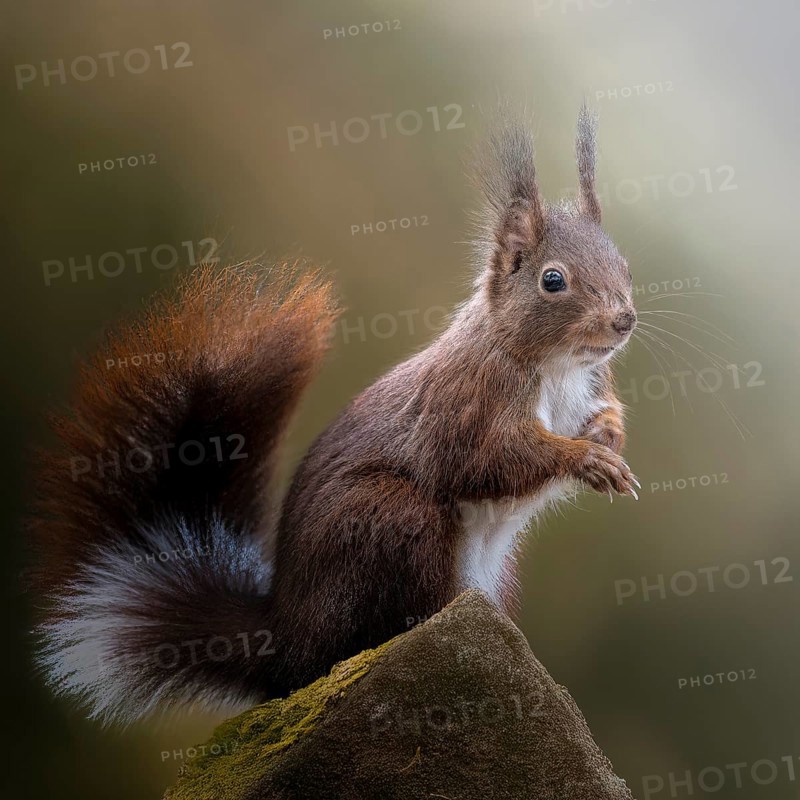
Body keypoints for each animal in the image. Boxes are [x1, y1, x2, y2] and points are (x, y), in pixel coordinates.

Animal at [29, 106, 639, 725]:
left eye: (625, 265)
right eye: (552, 280)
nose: (624, 320)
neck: (556, 367)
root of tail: (287, 639)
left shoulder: (588, 386)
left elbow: (596, 414)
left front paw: (609, 433)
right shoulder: (468, 402)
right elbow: (488, 459)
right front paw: (585, 458)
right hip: (390, 521)